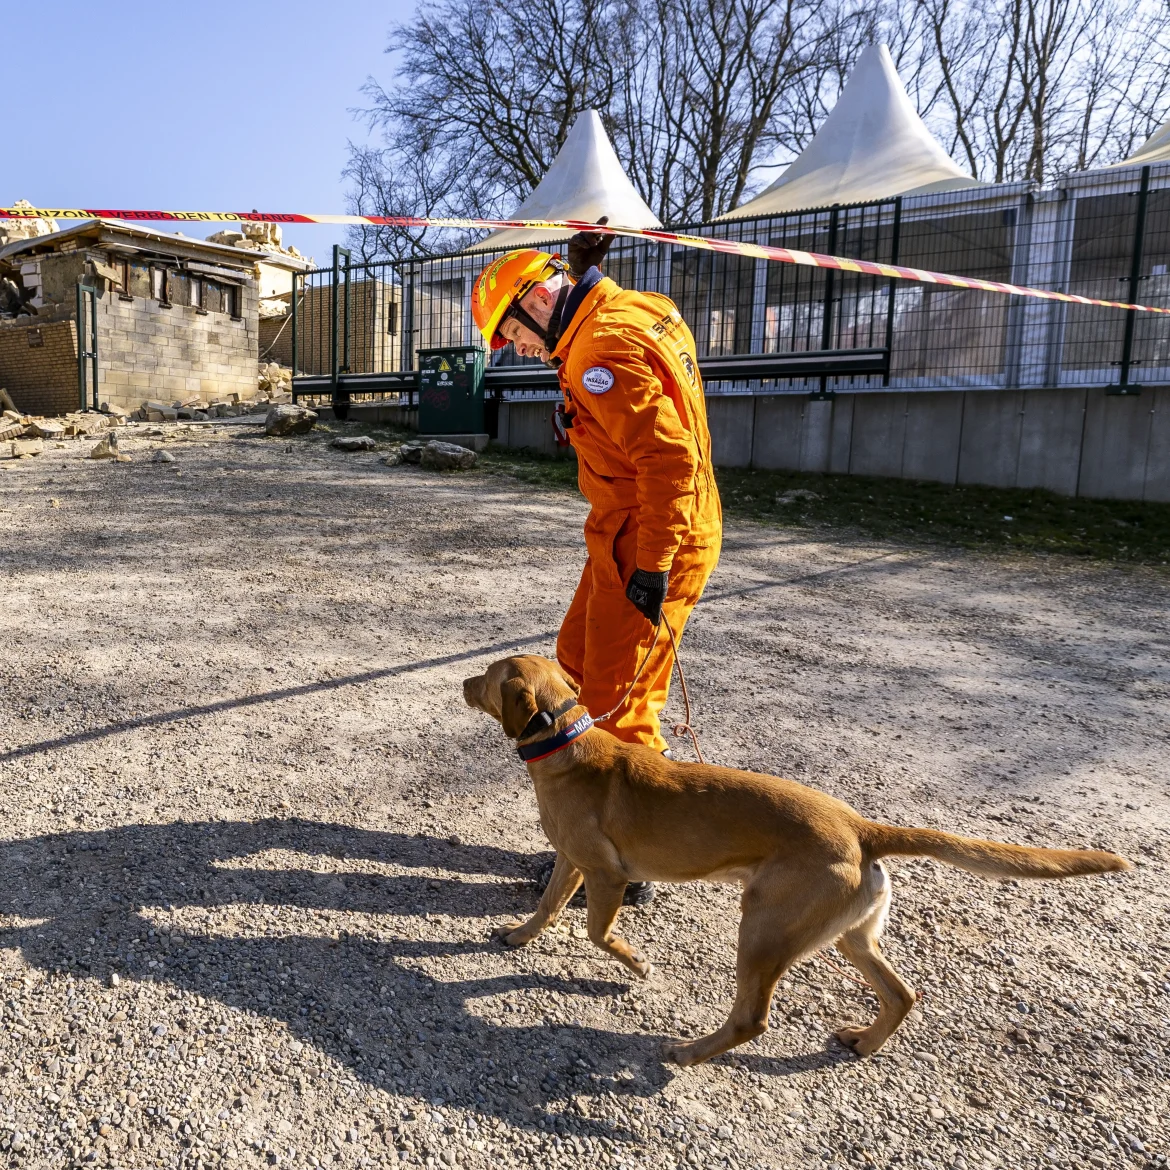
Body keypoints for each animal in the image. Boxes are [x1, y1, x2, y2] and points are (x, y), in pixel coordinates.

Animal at [460, 655, 1127, 1067]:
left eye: (488, 677)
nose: (462, 682)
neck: (566, 746)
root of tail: (861, 829)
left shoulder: (605, 874)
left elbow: (598, 932)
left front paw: (634, 963)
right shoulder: (568, 863)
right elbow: (547, 909)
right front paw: (517, 937)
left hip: (762, 930)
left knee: (753, 1020)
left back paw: (687, 1053)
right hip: (849, 936)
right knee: (901, 994)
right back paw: (864, 1042)